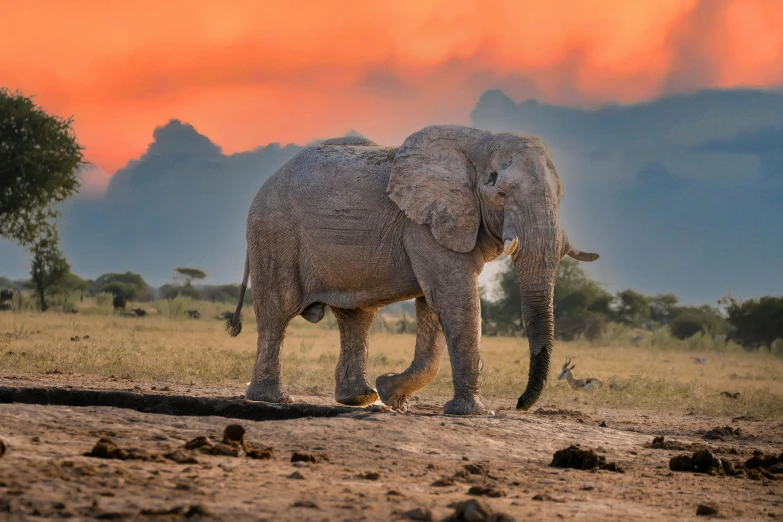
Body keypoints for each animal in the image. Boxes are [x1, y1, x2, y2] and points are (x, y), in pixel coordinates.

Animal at [227, 124, 600, 412]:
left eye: (561, 197)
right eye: (502, 194)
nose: (520, 405)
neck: (479, 144)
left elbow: (434, 308)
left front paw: (392, 394)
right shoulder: (423, 224)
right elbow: (455, 300)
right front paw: (471, 412)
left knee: (357, 317)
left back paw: (360, 397)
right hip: (273, 232)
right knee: (278, 310)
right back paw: (274, 399)